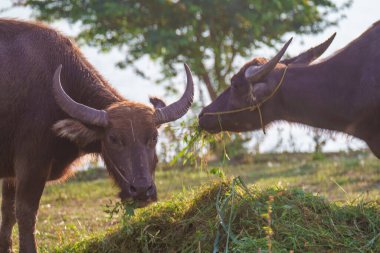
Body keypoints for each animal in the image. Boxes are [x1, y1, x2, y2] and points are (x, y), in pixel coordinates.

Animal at [0, 18, 194, 252]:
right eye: (113, 139)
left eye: (154, 138)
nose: (141, 191)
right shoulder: (31, 164)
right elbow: (26, 214)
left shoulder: (11, 175)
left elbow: (8, 214)